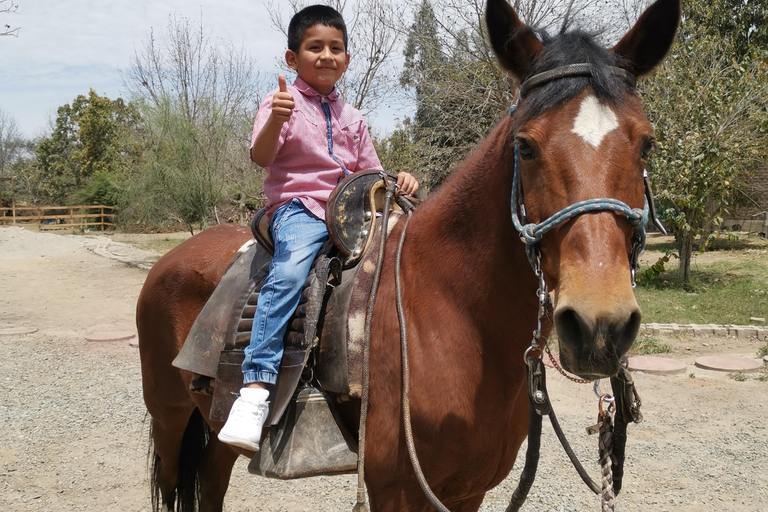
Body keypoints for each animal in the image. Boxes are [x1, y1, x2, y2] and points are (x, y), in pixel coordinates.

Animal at [135, 0, 680, 510]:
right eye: (525, 147)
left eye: (647, 145)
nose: (598, 326)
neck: (452, 313)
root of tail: (171, 259)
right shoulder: (394, 490)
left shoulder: (467, 491)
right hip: (168, 413)